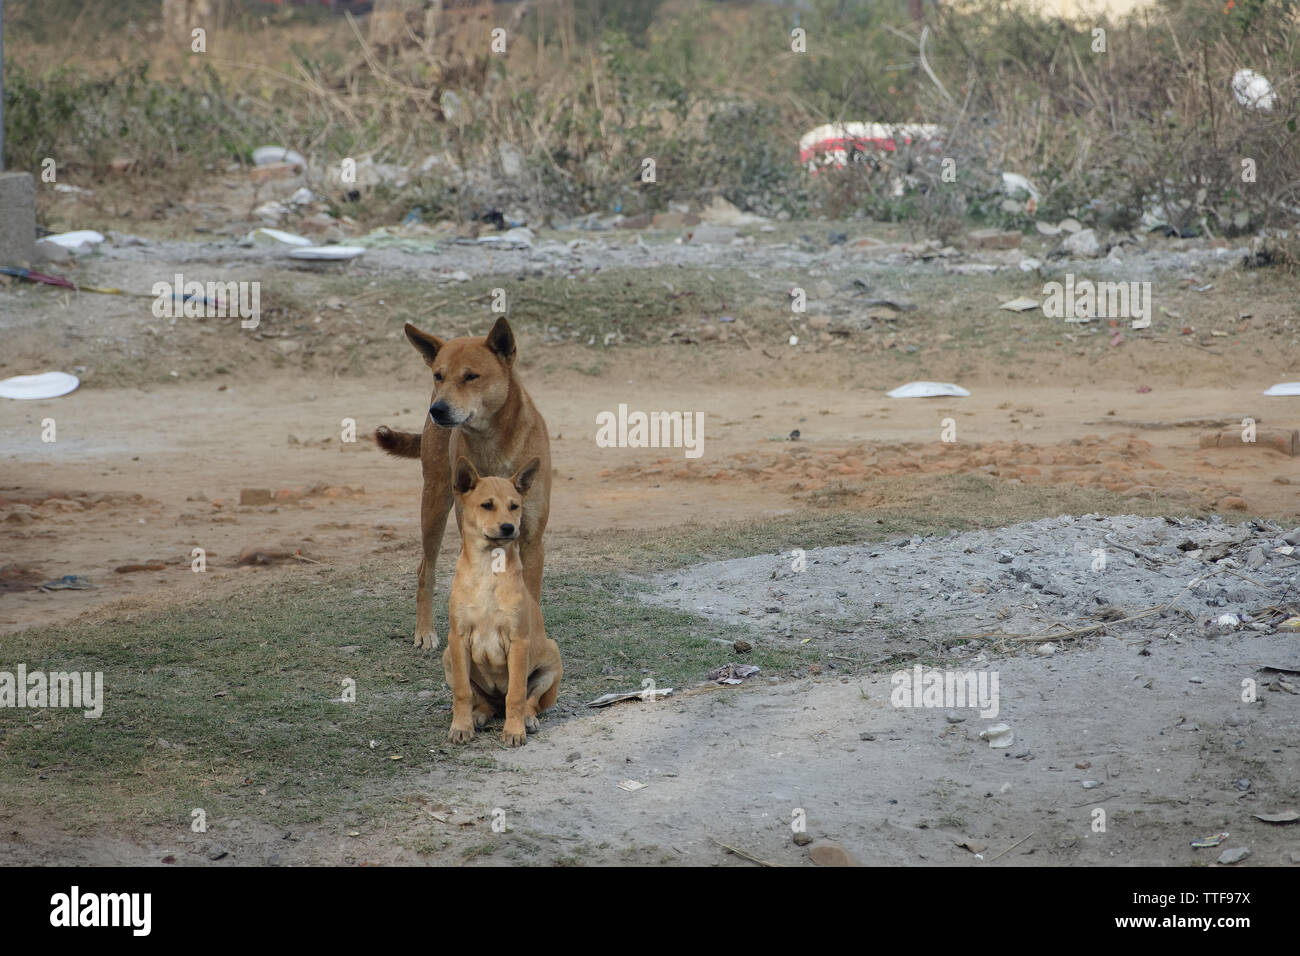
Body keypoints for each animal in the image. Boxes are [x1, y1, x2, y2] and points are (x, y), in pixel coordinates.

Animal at [379, 316, 553, 650]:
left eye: (471, 376)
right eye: (439, 375)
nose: (438, 409)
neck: (493, 443)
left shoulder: (531, 539)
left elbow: (529, 597)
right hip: (433, 505)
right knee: (425, 570)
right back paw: (425, 631)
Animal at [444, 457, 561, 749]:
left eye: (514, 506)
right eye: (487, 505)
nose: (509, 528)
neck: (489, 568)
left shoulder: (518, 641)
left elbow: (517, 693)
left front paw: (514, 730)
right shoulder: (457, 638)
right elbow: (462, 692)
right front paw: (460, 727)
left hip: (552, 658)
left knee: (530, 701)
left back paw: (527, 720)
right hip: (447, 657)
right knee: (482, 701)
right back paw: (478, 715)